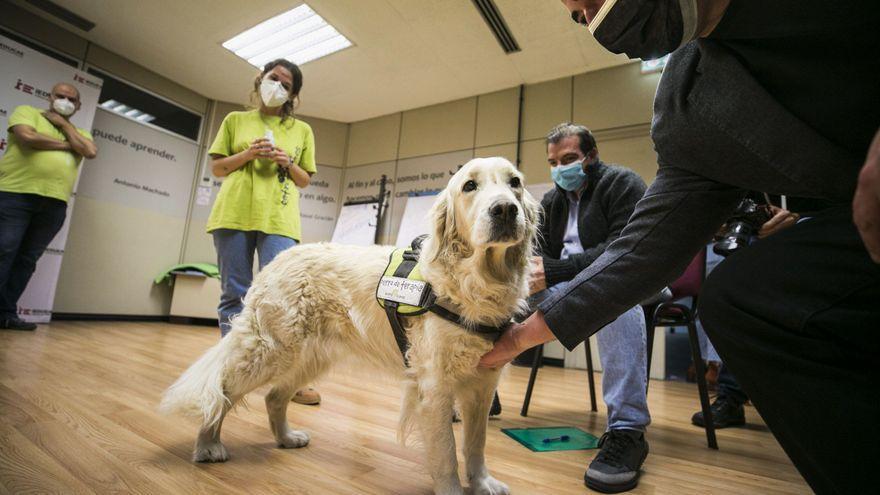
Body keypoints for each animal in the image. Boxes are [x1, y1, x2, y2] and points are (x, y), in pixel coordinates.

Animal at [162, 157, 540, 494]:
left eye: (515, 182)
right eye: (469, 186)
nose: (505, 210)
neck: (475, 281)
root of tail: (281, 257)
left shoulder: (482, 386)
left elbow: (476, 446)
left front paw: (483, 483)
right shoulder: (434, 390)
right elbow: (447, 456)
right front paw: (454, 489)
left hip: (310, 357)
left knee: (274, 396)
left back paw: (286, 437)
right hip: (269, 351)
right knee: (221, 392)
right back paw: (208, 445)